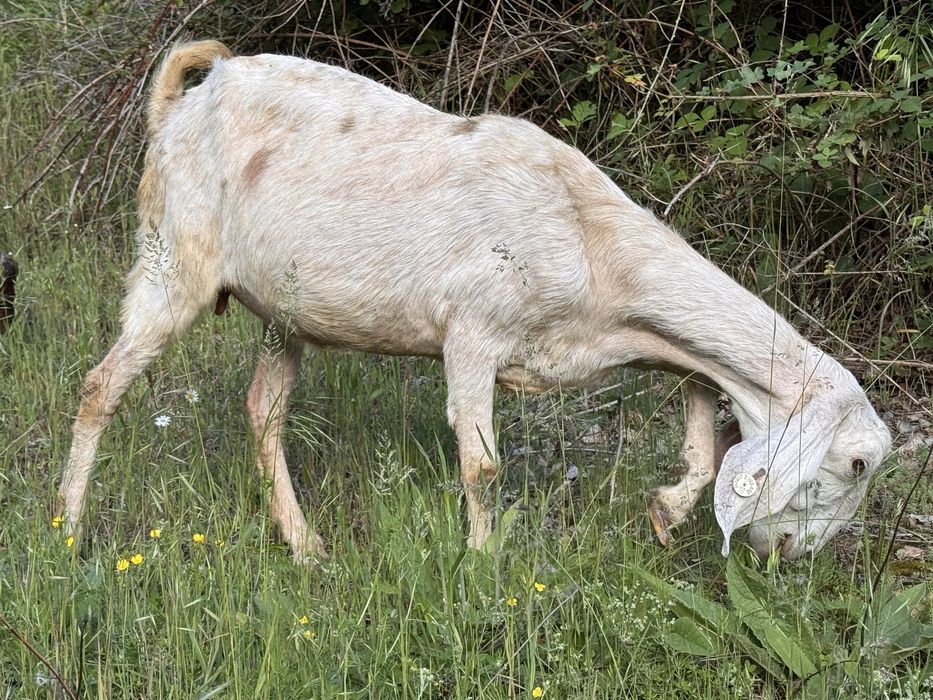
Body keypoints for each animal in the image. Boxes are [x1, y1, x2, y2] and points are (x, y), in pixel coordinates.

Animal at [60, 41, 891, 563]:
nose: (792, 554)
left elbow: (698, 415)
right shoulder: (473, 332)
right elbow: (482, 468)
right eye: (854, 463)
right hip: (172, 260)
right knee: (101, 385)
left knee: (263, 410)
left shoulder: (639, 344)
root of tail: (183, 101)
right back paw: (66, 529)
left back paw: (306, 547)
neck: (589, 240)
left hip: (285, 309)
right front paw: (484, 569)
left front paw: (666, 511)